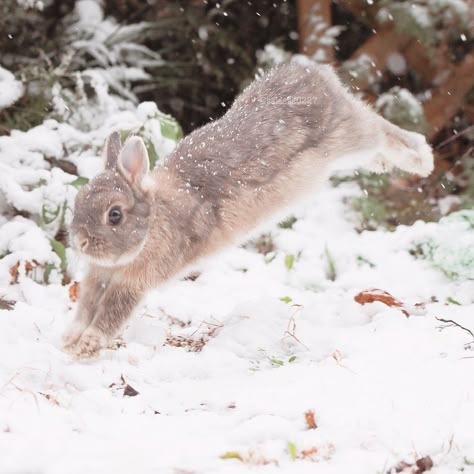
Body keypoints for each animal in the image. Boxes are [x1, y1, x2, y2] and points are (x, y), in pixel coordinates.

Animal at [64, 61, 434, 358]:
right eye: (78, 202)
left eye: (114, 215)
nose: (79, 242)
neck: (155, 218)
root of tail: (315, 73)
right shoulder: (98, 279)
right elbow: (85, 309)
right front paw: (70, 339)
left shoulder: (133, 285)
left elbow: (110, 315)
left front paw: (87, 345)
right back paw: (387, 165)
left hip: (348, 135)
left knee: (382, 130)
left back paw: (422, 158)